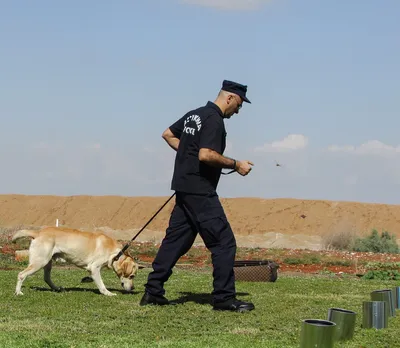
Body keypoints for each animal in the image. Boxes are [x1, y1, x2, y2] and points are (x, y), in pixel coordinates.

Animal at [12, 226, 144, 296]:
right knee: (21, 274)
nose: (133, 288)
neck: (116, 253)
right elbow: (101, 284)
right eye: (132, 276)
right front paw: (107, 293)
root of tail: (38, 232)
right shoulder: (94, 267)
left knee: (46, 278)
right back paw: (18, 292)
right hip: (40, 262)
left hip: (47, 262)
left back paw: (56, 288)